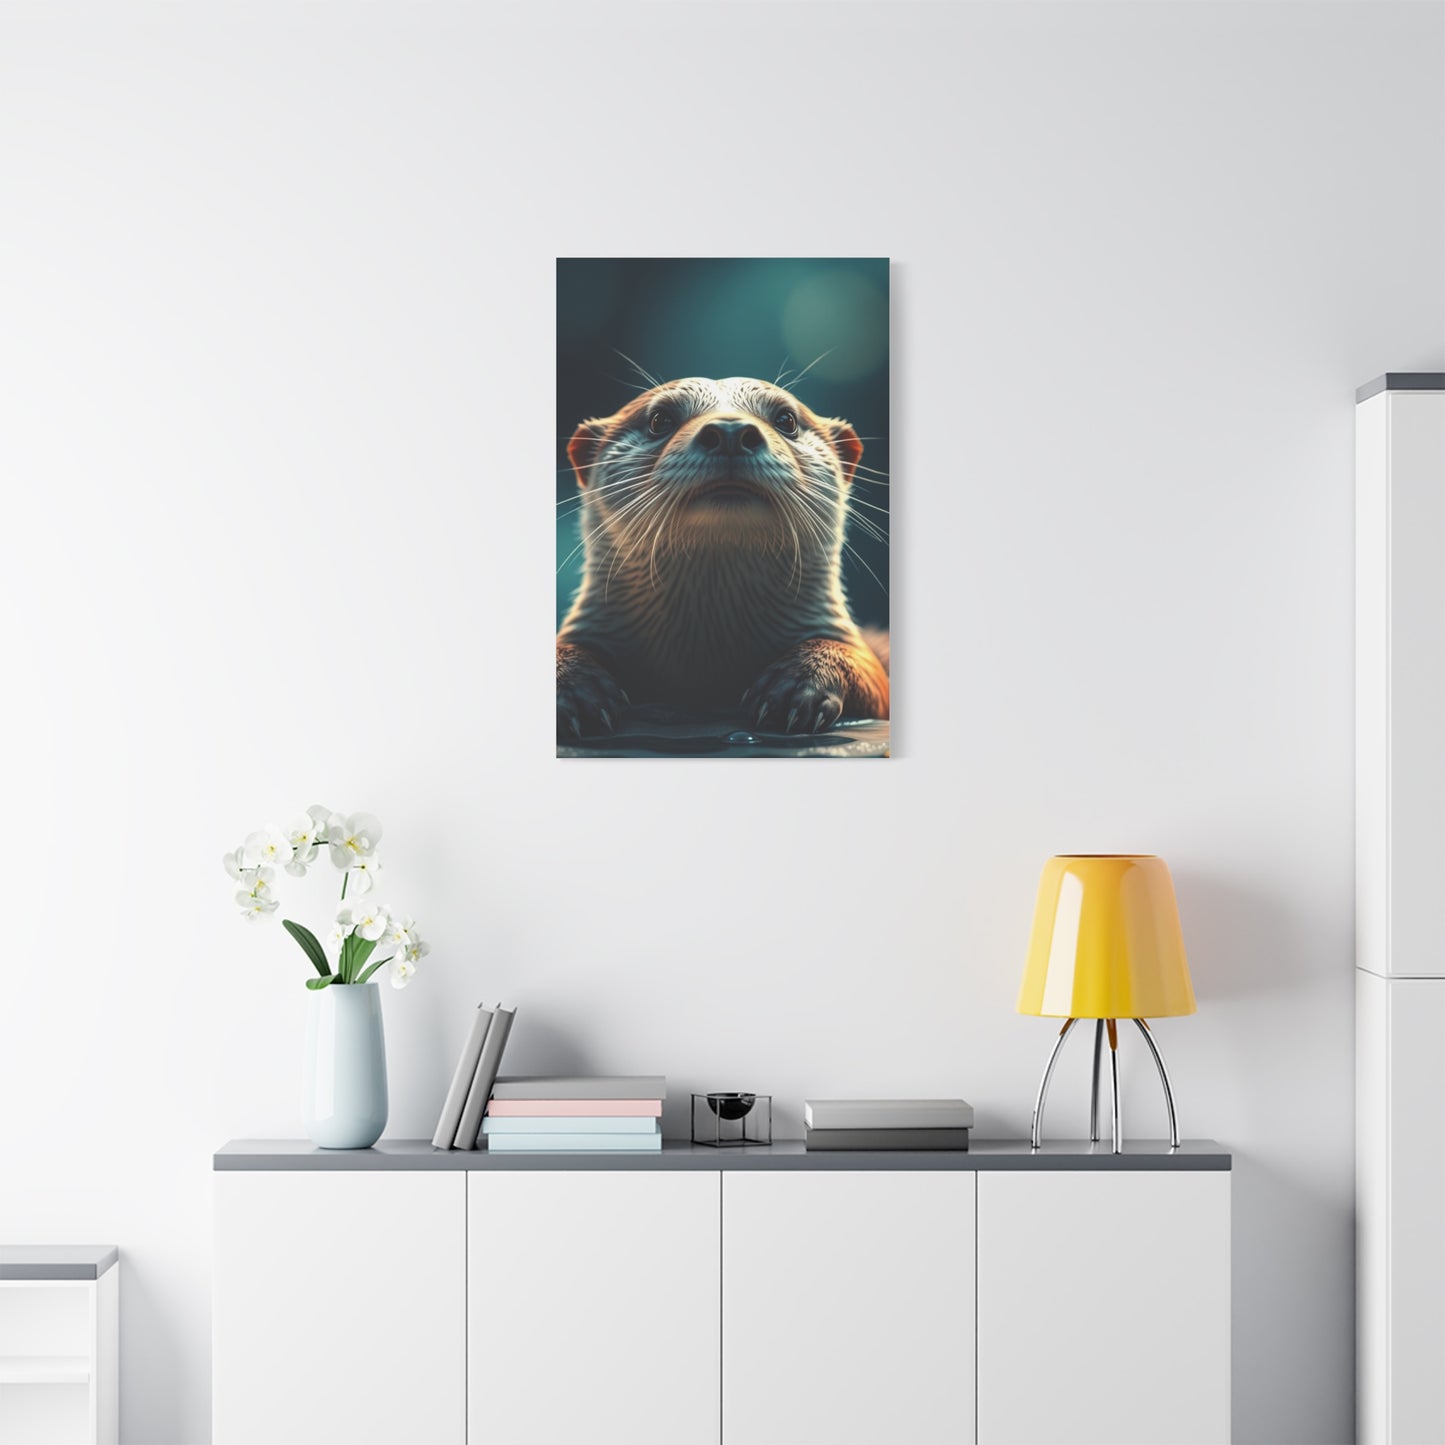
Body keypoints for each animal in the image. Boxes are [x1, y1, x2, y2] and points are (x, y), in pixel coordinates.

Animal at [556, 376, 888, 740]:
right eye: (660, 420)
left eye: (786, 420)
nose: (731, 431)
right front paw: (574, 688)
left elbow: (867, 669)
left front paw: (800, 684)